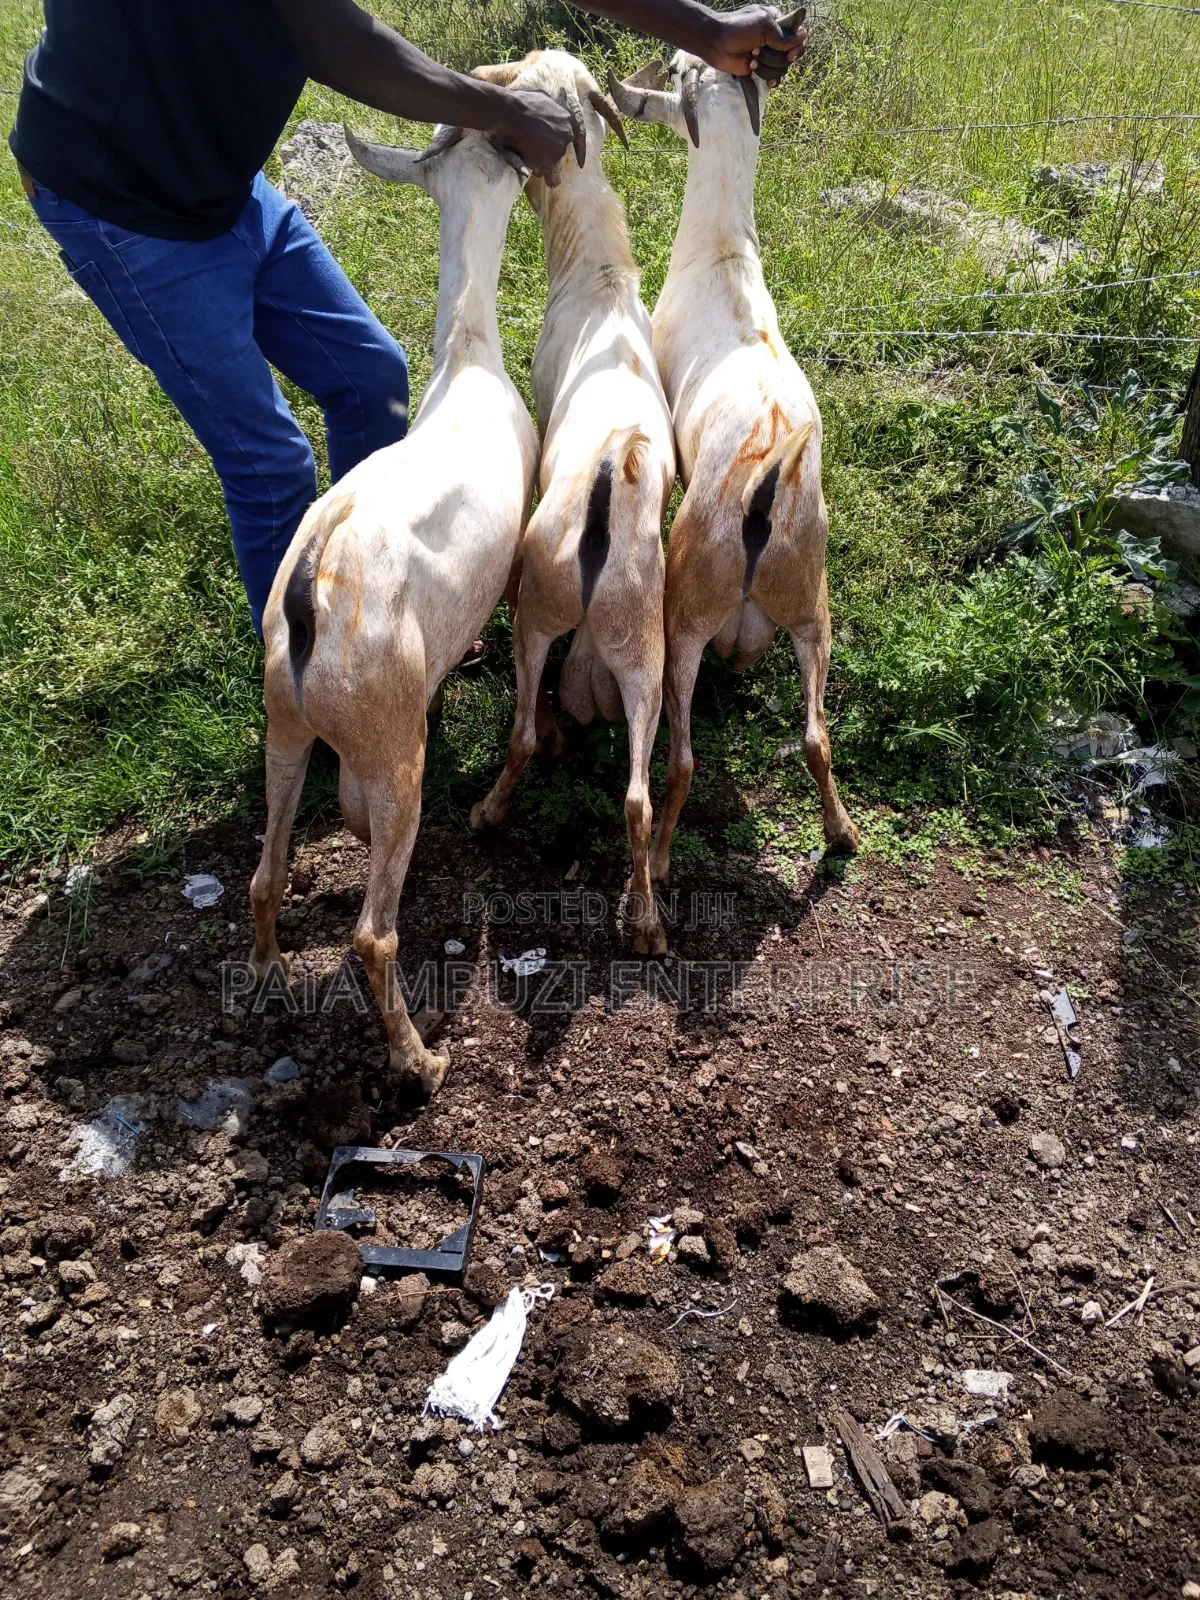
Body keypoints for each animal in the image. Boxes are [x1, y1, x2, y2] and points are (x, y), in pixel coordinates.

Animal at [247, 121, 538, 1095]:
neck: (470, 360)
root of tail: (309, 590)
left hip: (286, 721)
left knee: (265, 874)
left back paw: (266, 975)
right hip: (386, 738)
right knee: (374, 933)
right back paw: (423, 1062)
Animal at [609, 52, 858, 886]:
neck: (725, 253)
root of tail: (765, 489)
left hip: (686, 618)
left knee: (681, 761)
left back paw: (657, 863)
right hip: (812, 608)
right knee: (816, 735)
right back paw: (843, 836)